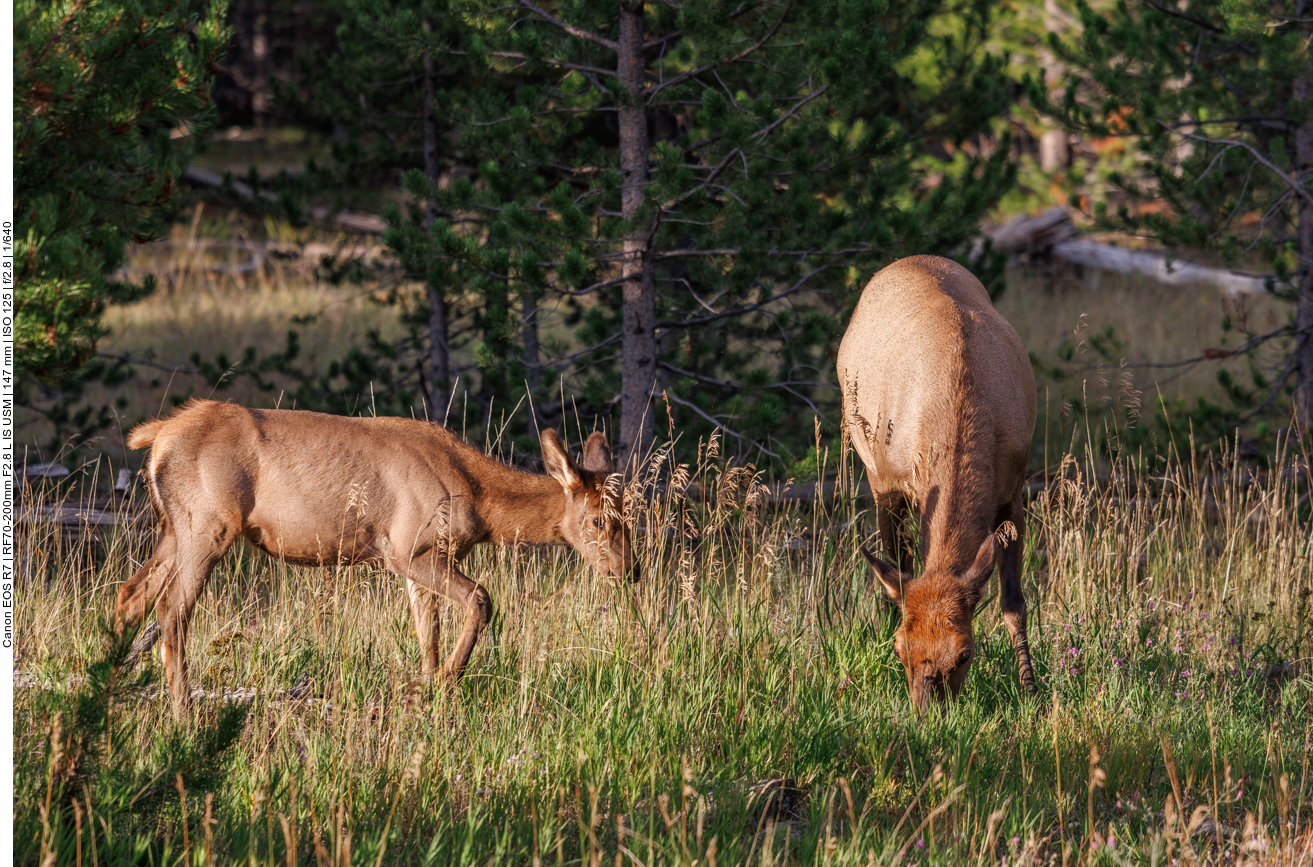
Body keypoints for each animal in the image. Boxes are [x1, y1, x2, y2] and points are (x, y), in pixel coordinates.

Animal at [119, 399, 635, 719]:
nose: (628, 570)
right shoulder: (409, 548)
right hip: (208, 524)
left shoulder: (419, 559)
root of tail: (158, 437)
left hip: (174, 528)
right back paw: (184, 711)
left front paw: (427, 689)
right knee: (172, 609)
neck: (480, 501)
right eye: (596, 520)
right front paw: (448, 680)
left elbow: (427, 633)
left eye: (628, 514)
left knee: (130, 596)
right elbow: (481, 600)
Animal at [840, 253, 1034, 709]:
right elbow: (900, 574)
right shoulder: (895, 482)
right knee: (896, 563)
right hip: (876, 475)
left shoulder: (1014, 489)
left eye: (965, 652)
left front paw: (1031, 689)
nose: (928, 712)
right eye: (900, 649)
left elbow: (1014, 602)